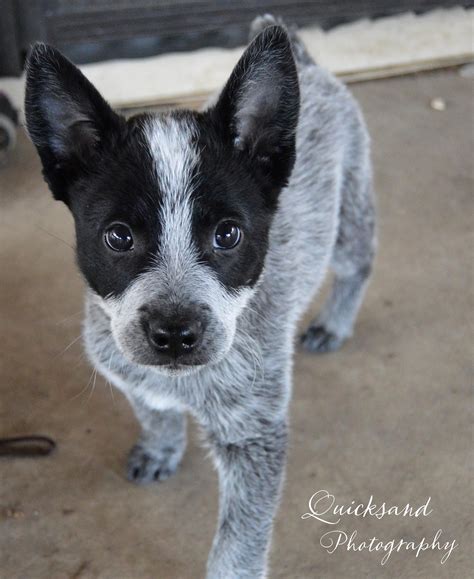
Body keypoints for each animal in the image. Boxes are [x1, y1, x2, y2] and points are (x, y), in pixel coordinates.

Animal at [25, 15, 374, 576]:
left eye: (228, 234)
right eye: (118, 236)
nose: (173, 334)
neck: (181, 381)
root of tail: (305, 62)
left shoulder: (253, 435)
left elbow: (236, 549)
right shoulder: (130, 373)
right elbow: (156, 412)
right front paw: (161, 448)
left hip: (346, 219)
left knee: (357, 264)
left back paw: (335, 323)